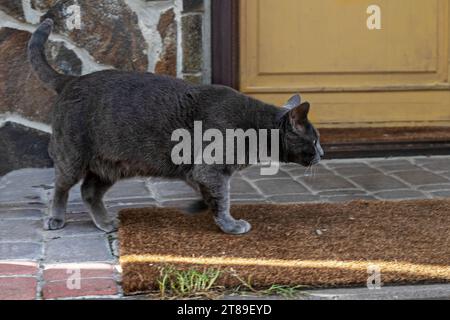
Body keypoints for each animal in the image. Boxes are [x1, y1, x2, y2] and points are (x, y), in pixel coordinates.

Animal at [29, 19, 324, 235]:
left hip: (110, 165)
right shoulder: (210, 168)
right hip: (73, 156)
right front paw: (230, 224)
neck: (256, 128)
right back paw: (56, 219)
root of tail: (69, 80)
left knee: (88, 191)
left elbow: (209, 193)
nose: (322, 153)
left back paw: (105, 223)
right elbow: (223, 198)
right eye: (315, 140)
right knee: (61, 187)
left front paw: (200, 207)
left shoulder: (197, 172)